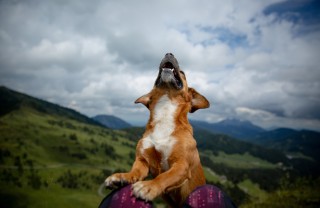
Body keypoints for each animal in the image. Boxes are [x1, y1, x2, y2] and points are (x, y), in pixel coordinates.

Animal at [105, 52, 210, 206]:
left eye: (183, 73)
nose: (169, 53)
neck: (164, 112)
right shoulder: (143, 161)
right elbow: (135, 172)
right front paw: (122, 177)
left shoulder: (181, 165)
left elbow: (165, 176)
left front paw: (149, 186)